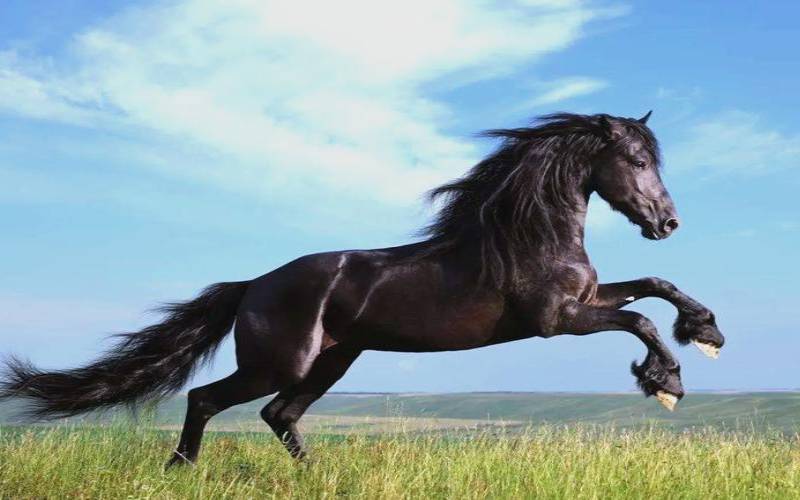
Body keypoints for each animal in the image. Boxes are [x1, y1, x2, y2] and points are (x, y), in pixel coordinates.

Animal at [0, 112, 725, 466]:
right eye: (637, 160)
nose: (667, 221)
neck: (529, 235)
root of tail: (252, 286)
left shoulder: (586, 300)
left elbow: (655, 285)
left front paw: (706, 332)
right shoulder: (557, 318)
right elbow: (640, 321)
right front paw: (666, 381)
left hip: (333, 360)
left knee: (279, 415)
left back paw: (315, 477)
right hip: (280, 362)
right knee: (211, 400)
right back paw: (181, 469)